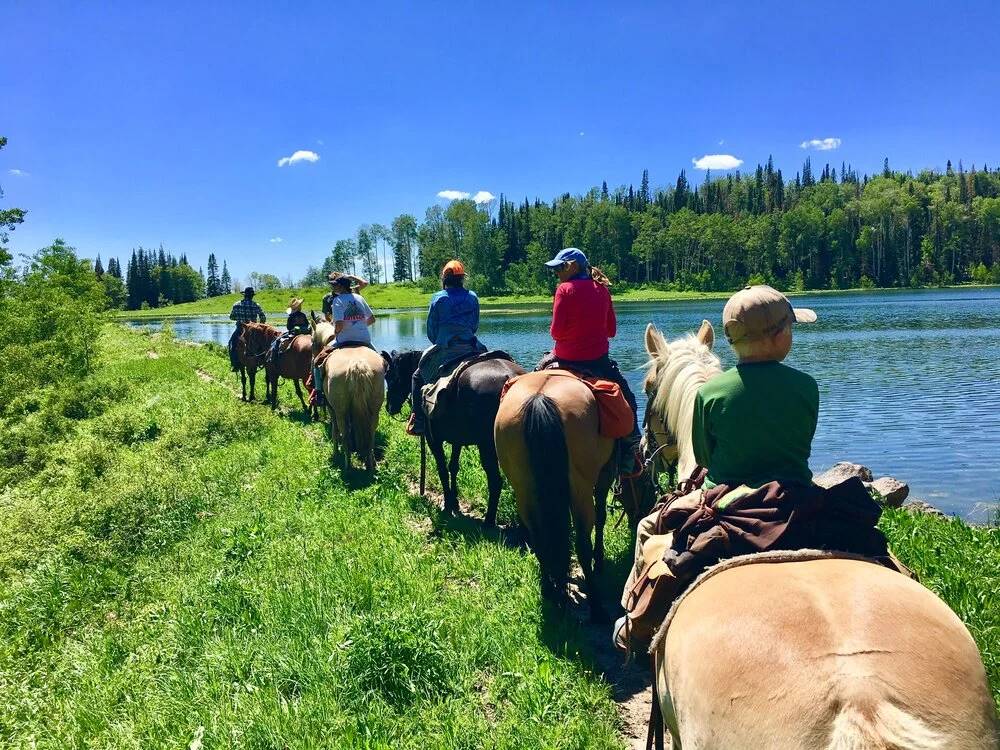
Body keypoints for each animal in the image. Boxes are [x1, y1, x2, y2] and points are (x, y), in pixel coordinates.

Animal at [310, 320, 384, 472]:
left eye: (312, 341)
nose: (312, 358)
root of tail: (357, 365)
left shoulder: (331, 409)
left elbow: (335, 432)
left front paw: (335, 453)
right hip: (374, 410)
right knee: (371, 434)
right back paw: (371, 463)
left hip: (340, 411)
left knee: (344, 435)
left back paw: (347, 465)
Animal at [380, 350, 524, 524]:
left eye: (388, 375)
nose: (389, 407)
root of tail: (511, 379)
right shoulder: (457, 440)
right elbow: (453, 467)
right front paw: (455, 501)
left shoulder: (433, 440)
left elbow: (442, 468)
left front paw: (448, 503)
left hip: (487, 446)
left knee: (496, 481)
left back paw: (489, 521)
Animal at [494, 370, 652, 624]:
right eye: (646, 485)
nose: (640, 516)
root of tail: (539, 399)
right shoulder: (605, 473)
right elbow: (601, 516)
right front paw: (600, 561)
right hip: (580, 490)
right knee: (582, 544)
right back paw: (597, 608)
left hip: (524, 490)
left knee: (539, 539)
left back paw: (549, 590)